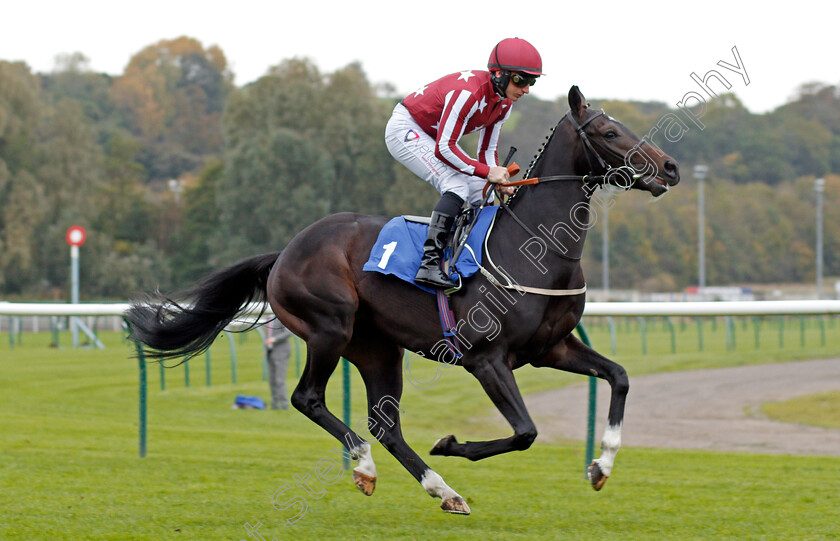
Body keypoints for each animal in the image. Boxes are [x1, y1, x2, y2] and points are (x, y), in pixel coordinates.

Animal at [126, 87, 676, 516]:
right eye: (608, 133)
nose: (669, 167)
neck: (532, 246)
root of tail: (284, 252)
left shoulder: (552, 349)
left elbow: (620, 376)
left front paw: (601, 465)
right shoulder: (486, 359)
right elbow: (525, 431)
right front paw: (451, 442)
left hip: (377, 347)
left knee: (385, 424)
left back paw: (443, 490)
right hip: (330, 327)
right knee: (308, 398)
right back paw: (366, 465)